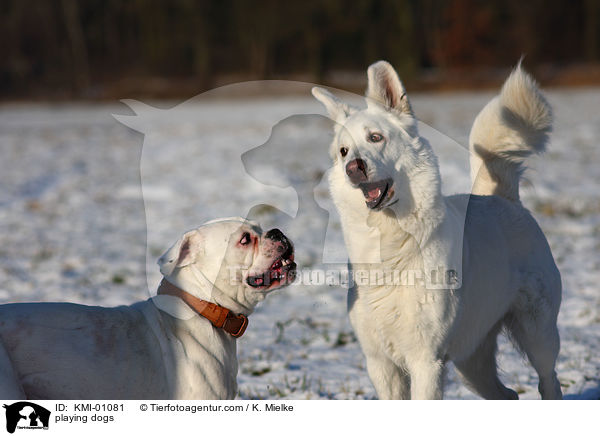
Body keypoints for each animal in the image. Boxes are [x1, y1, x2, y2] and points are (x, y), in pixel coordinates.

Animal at [314, 60, 564, 398]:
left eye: (376, 138)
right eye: (343, 151)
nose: (354, 168)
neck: (391, 242)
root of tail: (503, 197)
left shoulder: (426, 361)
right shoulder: (380, 363)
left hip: (538, 335)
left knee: (548, 379)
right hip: (471, 359)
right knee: (509, 394)